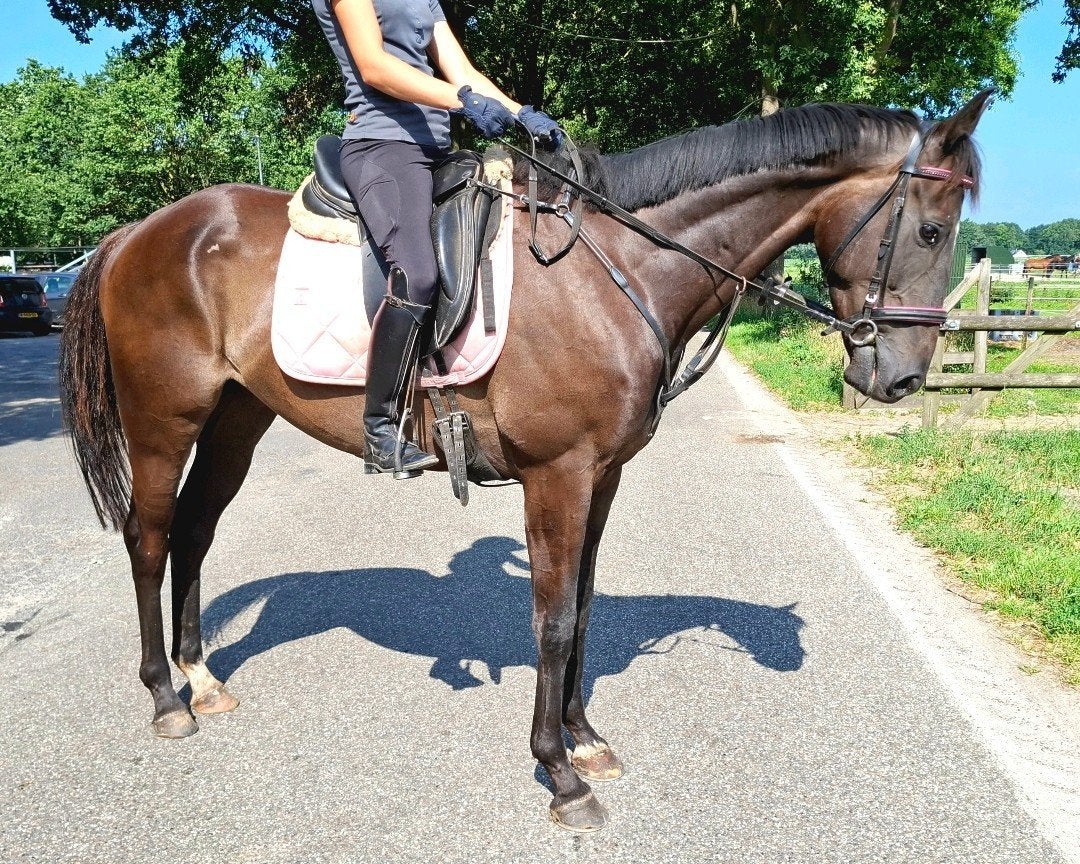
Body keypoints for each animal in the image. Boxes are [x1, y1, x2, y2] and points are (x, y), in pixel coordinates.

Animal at [58, 89, 990, 831]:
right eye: (931, 228)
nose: (903, 378)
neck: (619, 270)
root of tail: (142, 230)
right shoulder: (559, 474)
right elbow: (551, 619)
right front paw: (559, 771)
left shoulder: (604, 476)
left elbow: (583, 601)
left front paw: (586, 736)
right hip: (163, 419)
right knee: (148, 537)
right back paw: (165, 696)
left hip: (237, 416)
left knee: (195, 532)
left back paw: (201, 677)